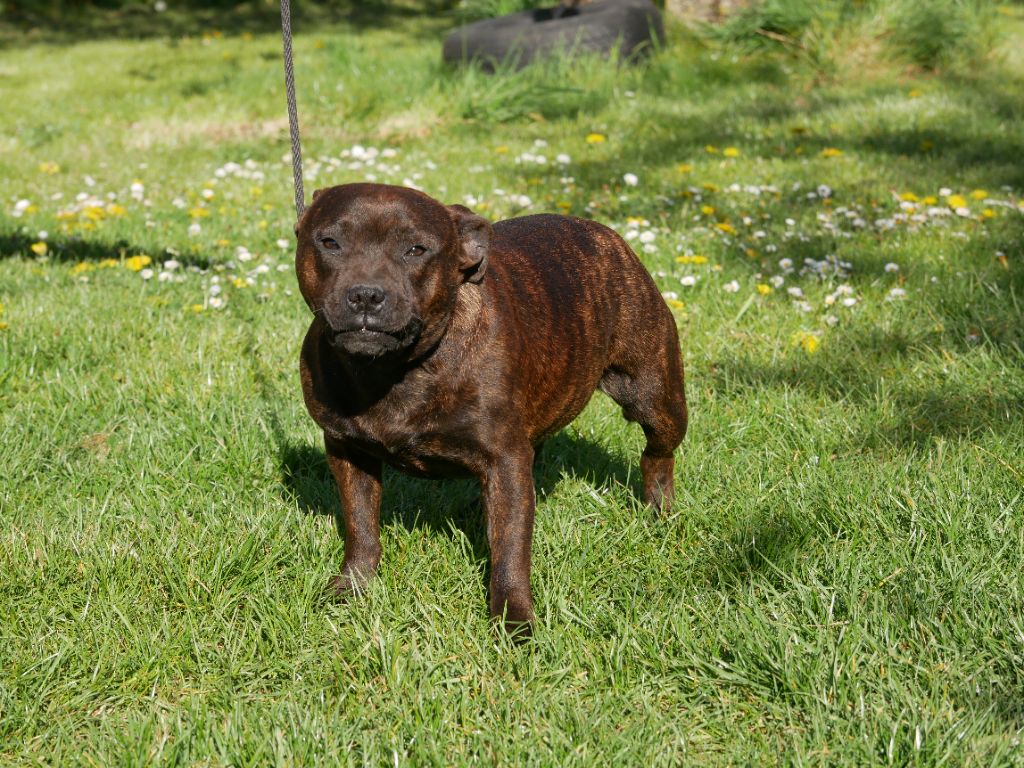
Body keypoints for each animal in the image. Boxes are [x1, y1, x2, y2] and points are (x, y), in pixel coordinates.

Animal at [295, 183, 687, 635]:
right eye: (330, 242)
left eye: (416, 249)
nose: (365, 294)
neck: (392, 370)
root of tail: (608, 236)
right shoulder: (348, 451)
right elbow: (361, 525)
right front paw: (352, 588)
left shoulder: (503, 459)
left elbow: (510, 546)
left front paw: (514, 620)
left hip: (656, 397)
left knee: (658, 454)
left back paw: (658, 510)